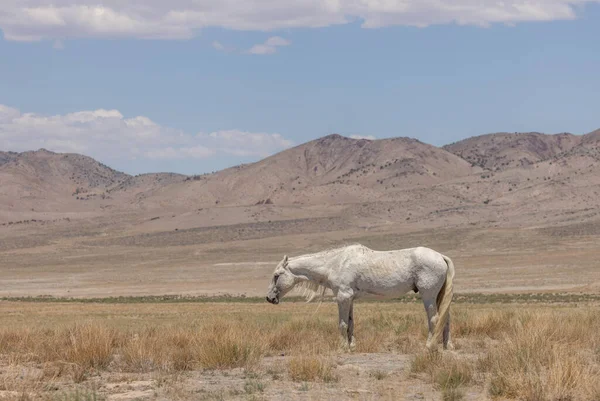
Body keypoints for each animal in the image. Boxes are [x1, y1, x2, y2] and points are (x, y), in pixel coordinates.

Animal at [266, 242, 454, 348]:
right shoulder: (349, 299)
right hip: (438, 296)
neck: (335, 263)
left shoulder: (342, 297)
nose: (269, 298)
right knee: (445, 318)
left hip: (428, 296)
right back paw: (447, 345)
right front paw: (352, 345)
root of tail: (441, 256)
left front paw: (343, 346)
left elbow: (342, 324)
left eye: (276, 275)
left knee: (434, 319)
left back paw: (430, 345)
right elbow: (350, 323)